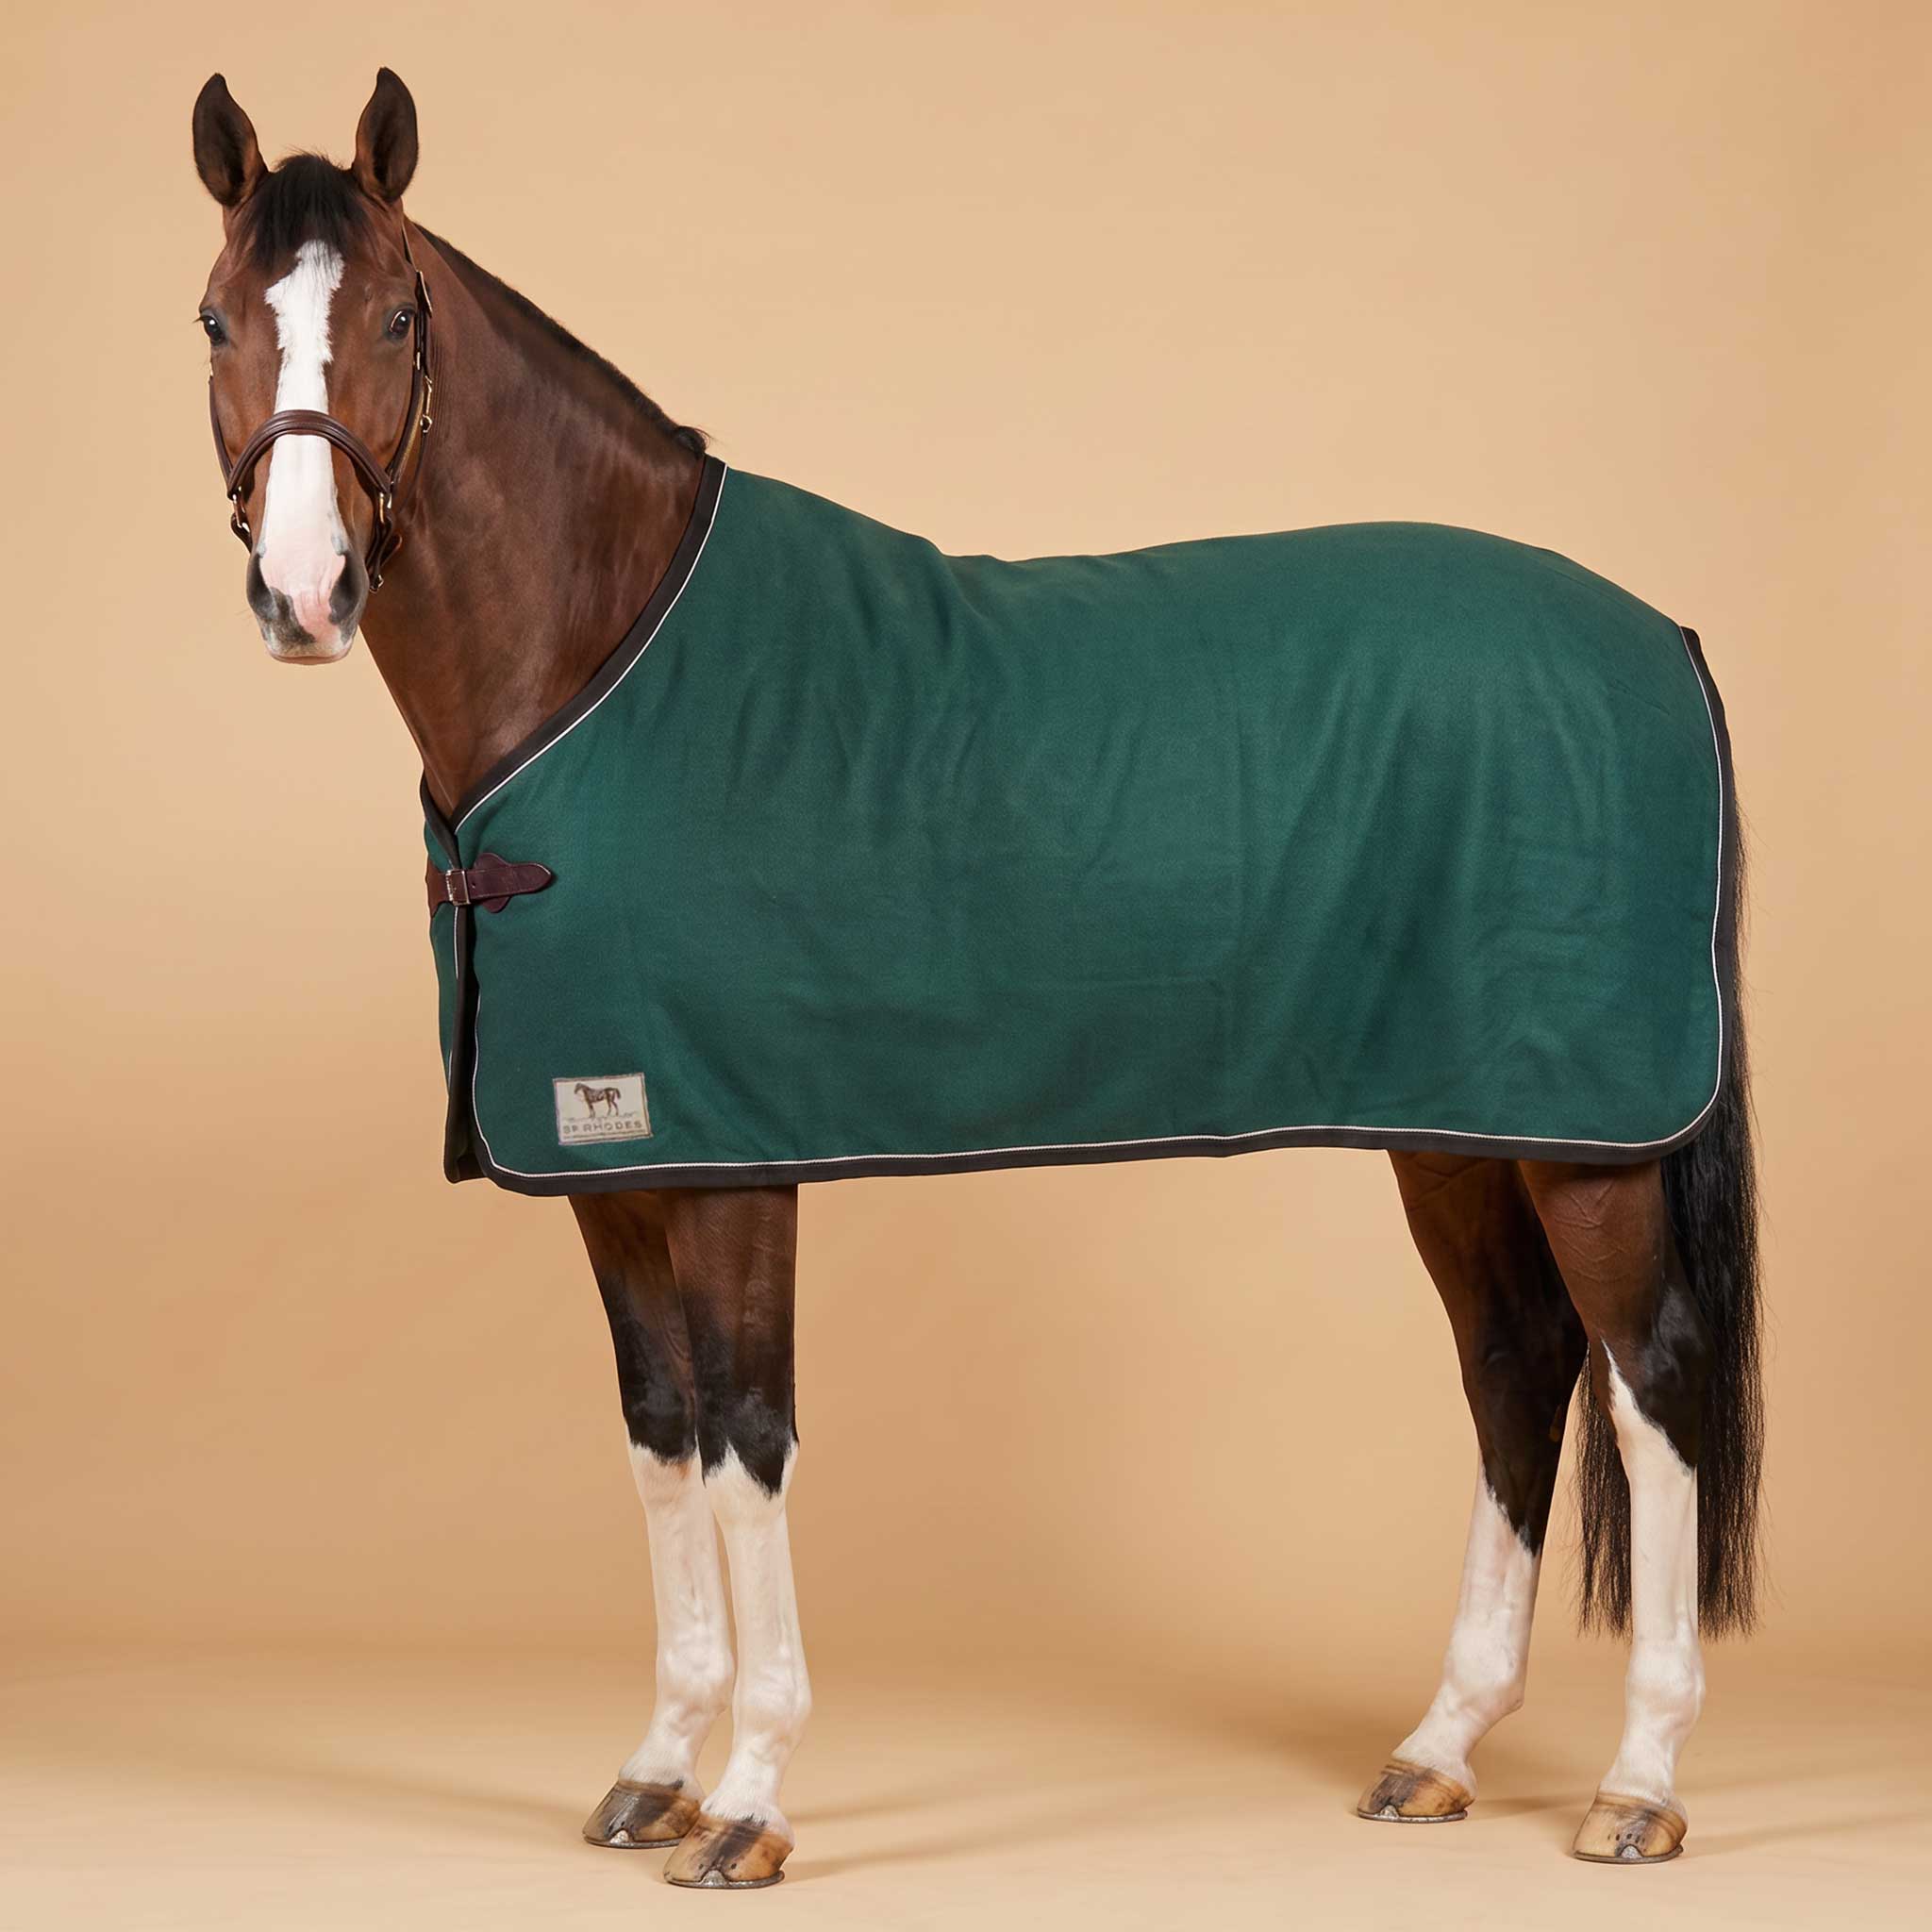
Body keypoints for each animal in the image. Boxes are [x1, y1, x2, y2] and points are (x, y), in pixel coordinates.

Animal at [191, 69, 1761, 1885]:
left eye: (394, 313)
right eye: (218, 316)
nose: (305, 593)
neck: (598, 664)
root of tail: (1661, 637)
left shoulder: (732, 1166)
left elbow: (745, 1439)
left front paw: (749, 1799)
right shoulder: (615, 1162)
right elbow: (659, 1435)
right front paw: (658, 1765)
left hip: (1593, 1139)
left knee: (1650, 1386)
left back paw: (1639, 1780)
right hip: (1455, 1126)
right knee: (1515, 1366)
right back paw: (1435, 1745)